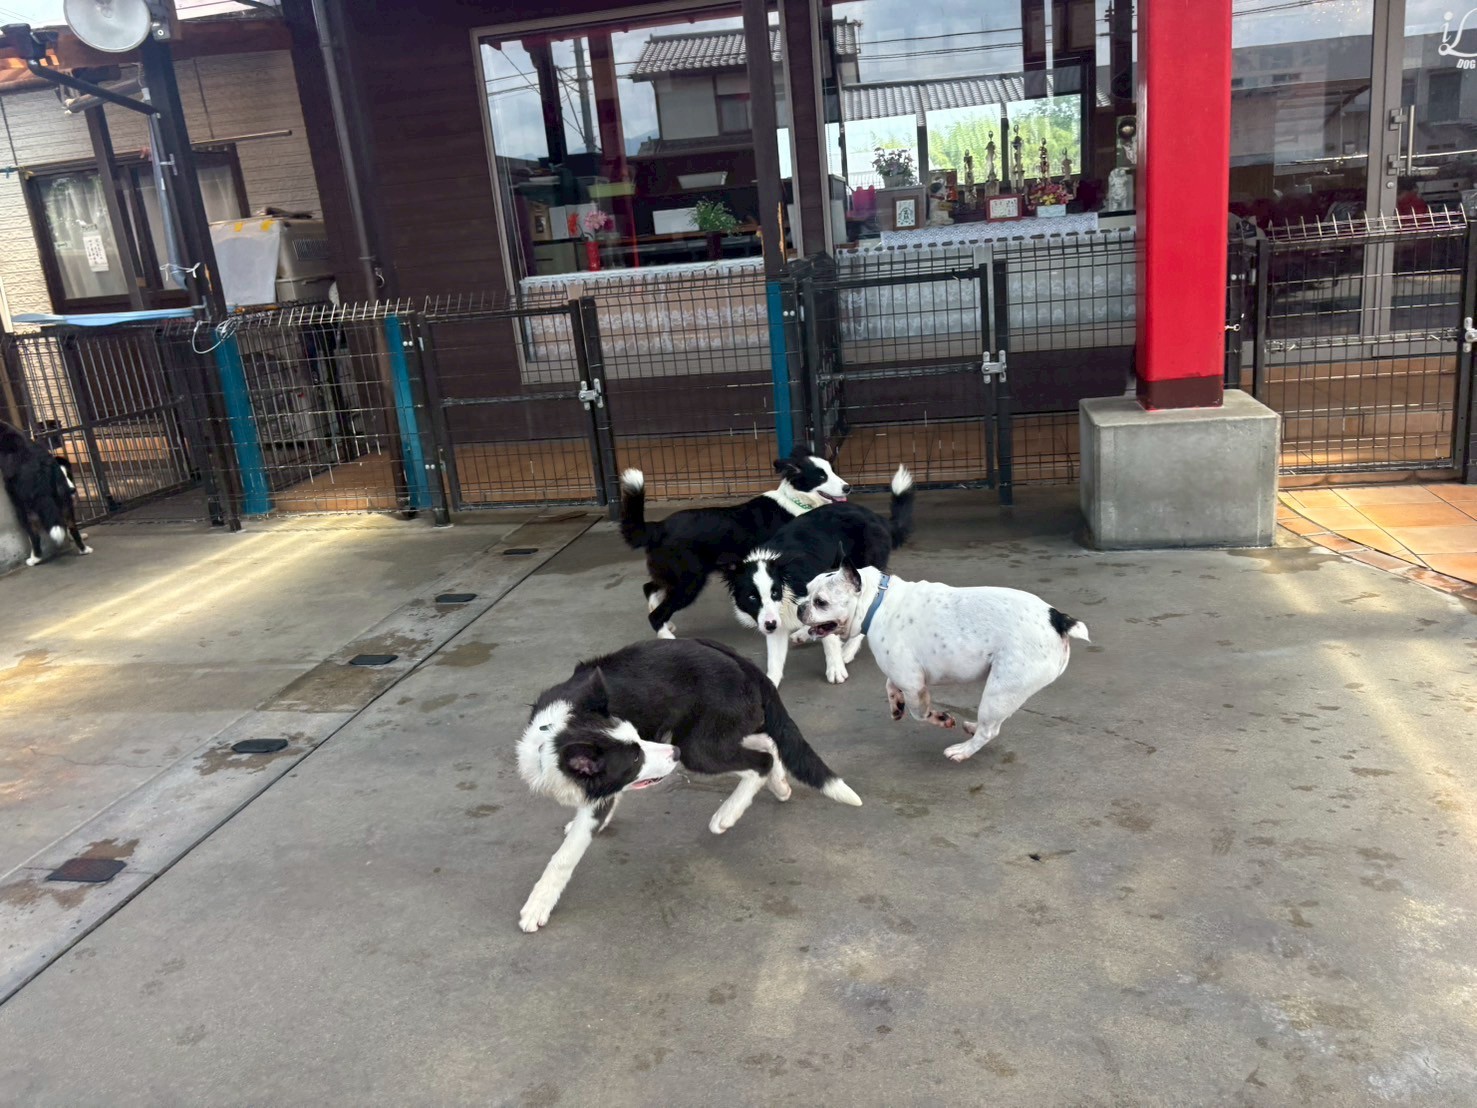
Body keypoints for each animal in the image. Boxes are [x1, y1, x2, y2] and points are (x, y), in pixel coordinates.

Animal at [1, 420, 91, 567]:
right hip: (65, 505)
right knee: (72, 526)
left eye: (69, 475)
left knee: (34, 536)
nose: (72, 490)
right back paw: (84, 550)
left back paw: (34, 559)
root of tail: (42, 471)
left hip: (24, 511)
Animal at [516, 637, 861, 932]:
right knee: (768, 743)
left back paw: (727, 814)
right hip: (714, 734)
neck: (553, 739)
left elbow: (565, 856)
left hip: (699, 748)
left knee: (759, 761)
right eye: (635, 758)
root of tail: (739, 659)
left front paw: (538, 905)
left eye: (638, 740)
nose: (673, 753)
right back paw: (780, 786)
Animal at [618, 445, 851, 638]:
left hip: (671, 575)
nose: (847, 487)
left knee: (649, 588)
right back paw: (667, 636)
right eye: (821, 476)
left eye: (832, 471)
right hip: (688, 582)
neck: (796, 500)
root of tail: (658, 527)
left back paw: (667, 624)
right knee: (655, 613)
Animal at [722, 464, 914, 687]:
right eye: (752, 597)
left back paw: (847, 650)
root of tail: (877, 517)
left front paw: (835, 668)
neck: (785, 580)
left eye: (775, 593)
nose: (769, 625)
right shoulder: (777, 620)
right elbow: (775, 659)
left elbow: (829, 637)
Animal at [799, 564, 1088, 763]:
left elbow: (919, 712)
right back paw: (972, 728)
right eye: (806, 590)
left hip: (1000, 691)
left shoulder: (913, 683)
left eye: (821, 602)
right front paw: (895, 705)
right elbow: (889, 685)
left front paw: (938, 718)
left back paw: (962, 751)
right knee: (993, 725)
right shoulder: (902, 673)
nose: (800, 606)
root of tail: (1058, 619)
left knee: (990, 730)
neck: (877, 602)